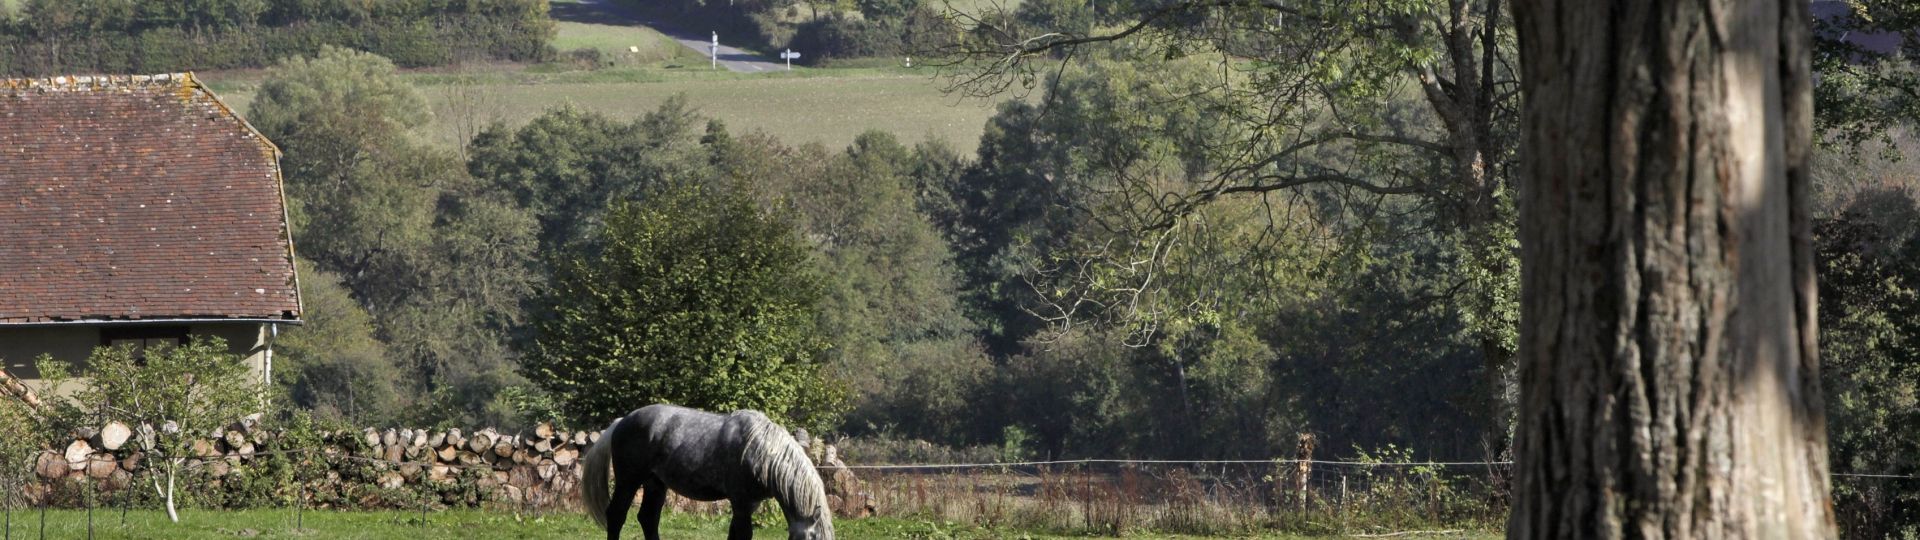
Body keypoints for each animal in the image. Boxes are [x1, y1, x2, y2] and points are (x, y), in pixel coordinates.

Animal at [581, 404, 835, 540]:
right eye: (813, 538)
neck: (760, 451)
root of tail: (622, 421)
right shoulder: (741, 504)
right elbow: (743, 535)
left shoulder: (748, 505)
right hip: (628, 481)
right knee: (616, 515)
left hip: (655, 484)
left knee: (648, 518)